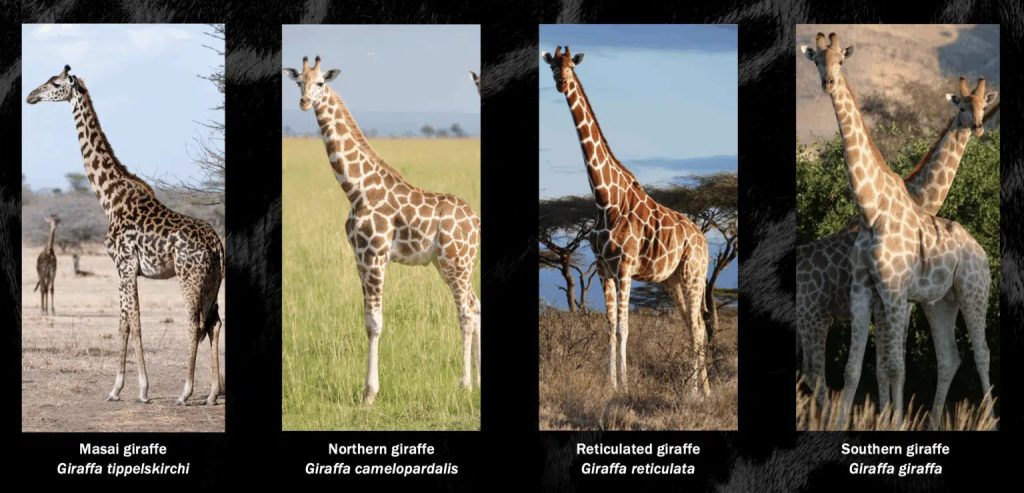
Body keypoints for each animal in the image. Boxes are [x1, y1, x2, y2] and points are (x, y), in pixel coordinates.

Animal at [27, 66, 225, 406]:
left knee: (194, 323)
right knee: (214, 323)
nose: (31, 96)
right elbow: (124, 324)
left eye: (54, 83)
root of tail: (217, 245)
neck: (110, 199)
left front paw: (140, 390)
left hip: (189, 276)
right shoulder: (124, 268)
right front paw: (118, 389)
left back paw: (185, 392)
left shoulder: (125, 265)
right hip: (213, 280)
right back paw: (212, 394)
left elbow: (133, 321)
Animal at [284, 56, 481, 405]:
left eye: (321, 82)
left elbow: (375, 323)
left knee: (467, 312)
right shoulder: (360, 258)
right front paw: (368, 391)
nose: (305, 101)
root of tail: (476, 222)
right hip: (450, 265)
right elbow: (366, 320)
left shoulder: (375, 256)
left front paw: (369, 395)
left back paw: (466, 384)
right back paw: (480, 380)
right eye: (298, 82)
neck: (356, 188)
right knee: (477, 306)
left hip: (456, 263)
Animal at [542, 46, 711, 395]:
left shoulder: (624, 267)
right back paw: (700, 390)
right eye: (552, 66)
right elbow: (610, 326)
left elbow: (625, 327)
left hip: (694, 275)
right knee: (694, 326)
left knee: (698, 326)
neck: (605, 199)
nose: (561, 84)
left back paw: (696, 391)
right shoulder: (603, 269)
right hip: (675, 281)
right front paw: (611, 384)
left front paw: (625, 385)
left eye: (571, 66)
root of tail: (705, 242)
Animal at [800, 33, 993, 426]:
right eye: (817, 60)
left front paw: (892, 420)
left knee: (980, 354)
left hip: (971, 293)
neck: (874, 210)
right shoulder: (870, 293)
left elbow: (888, 365)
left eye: (840, 60)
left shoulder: (896, 295)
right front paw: (856, 422)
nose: (828, 83)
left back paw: (983, 419)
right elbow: (861, 368)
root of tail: (982, 251)